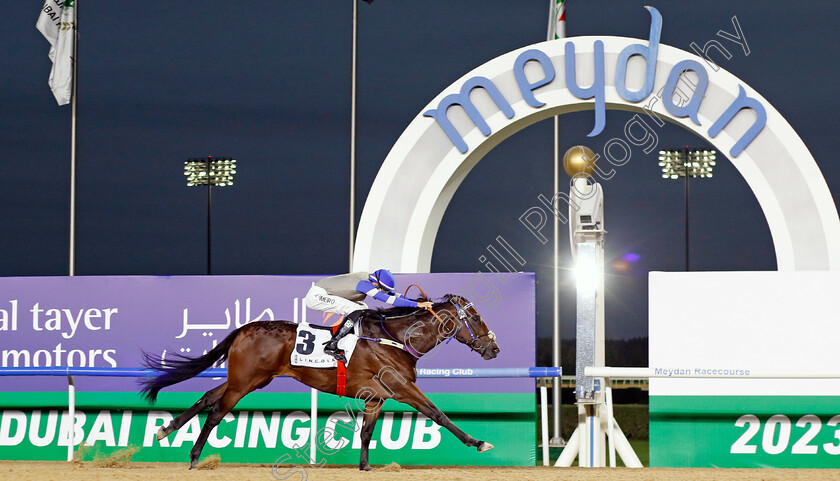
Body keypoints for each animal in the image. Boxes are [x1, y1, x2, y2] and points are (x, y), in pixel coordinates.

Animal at [141, 292, 502, 468]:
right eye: (475, 318)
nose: (494, 348)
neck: (396, 338)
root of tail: (244, 328)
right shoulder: (402, 387)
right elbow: (437, 413)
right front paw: (478, 443)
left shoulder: (377, 395)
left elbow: (367, 433)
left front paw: (365, 467)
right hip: (245, 382)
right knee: (216, 412)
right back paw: (193, 458)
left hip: (249, 379)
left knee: (207, 396)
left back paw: (165, 430)